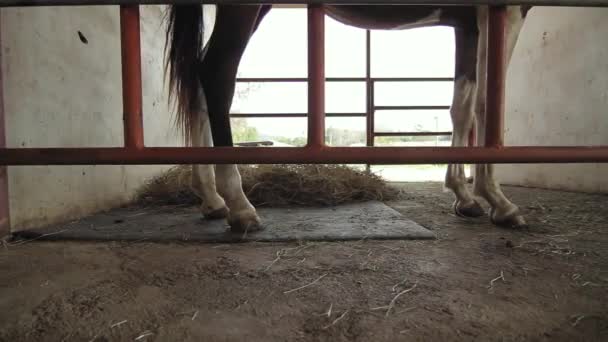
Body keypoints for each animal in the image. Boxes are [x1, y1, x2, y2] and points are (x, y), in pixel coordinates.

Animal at [162, 3, 532, 232]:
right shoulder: (504, 11)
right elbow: (488, 104)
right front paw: (499, 202)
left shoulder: (467, 23)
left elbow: (462, 108)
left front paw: (464, 196)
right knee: (217, 73)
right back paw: (240, 207)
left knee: (198, 86)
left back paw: (212, 199)